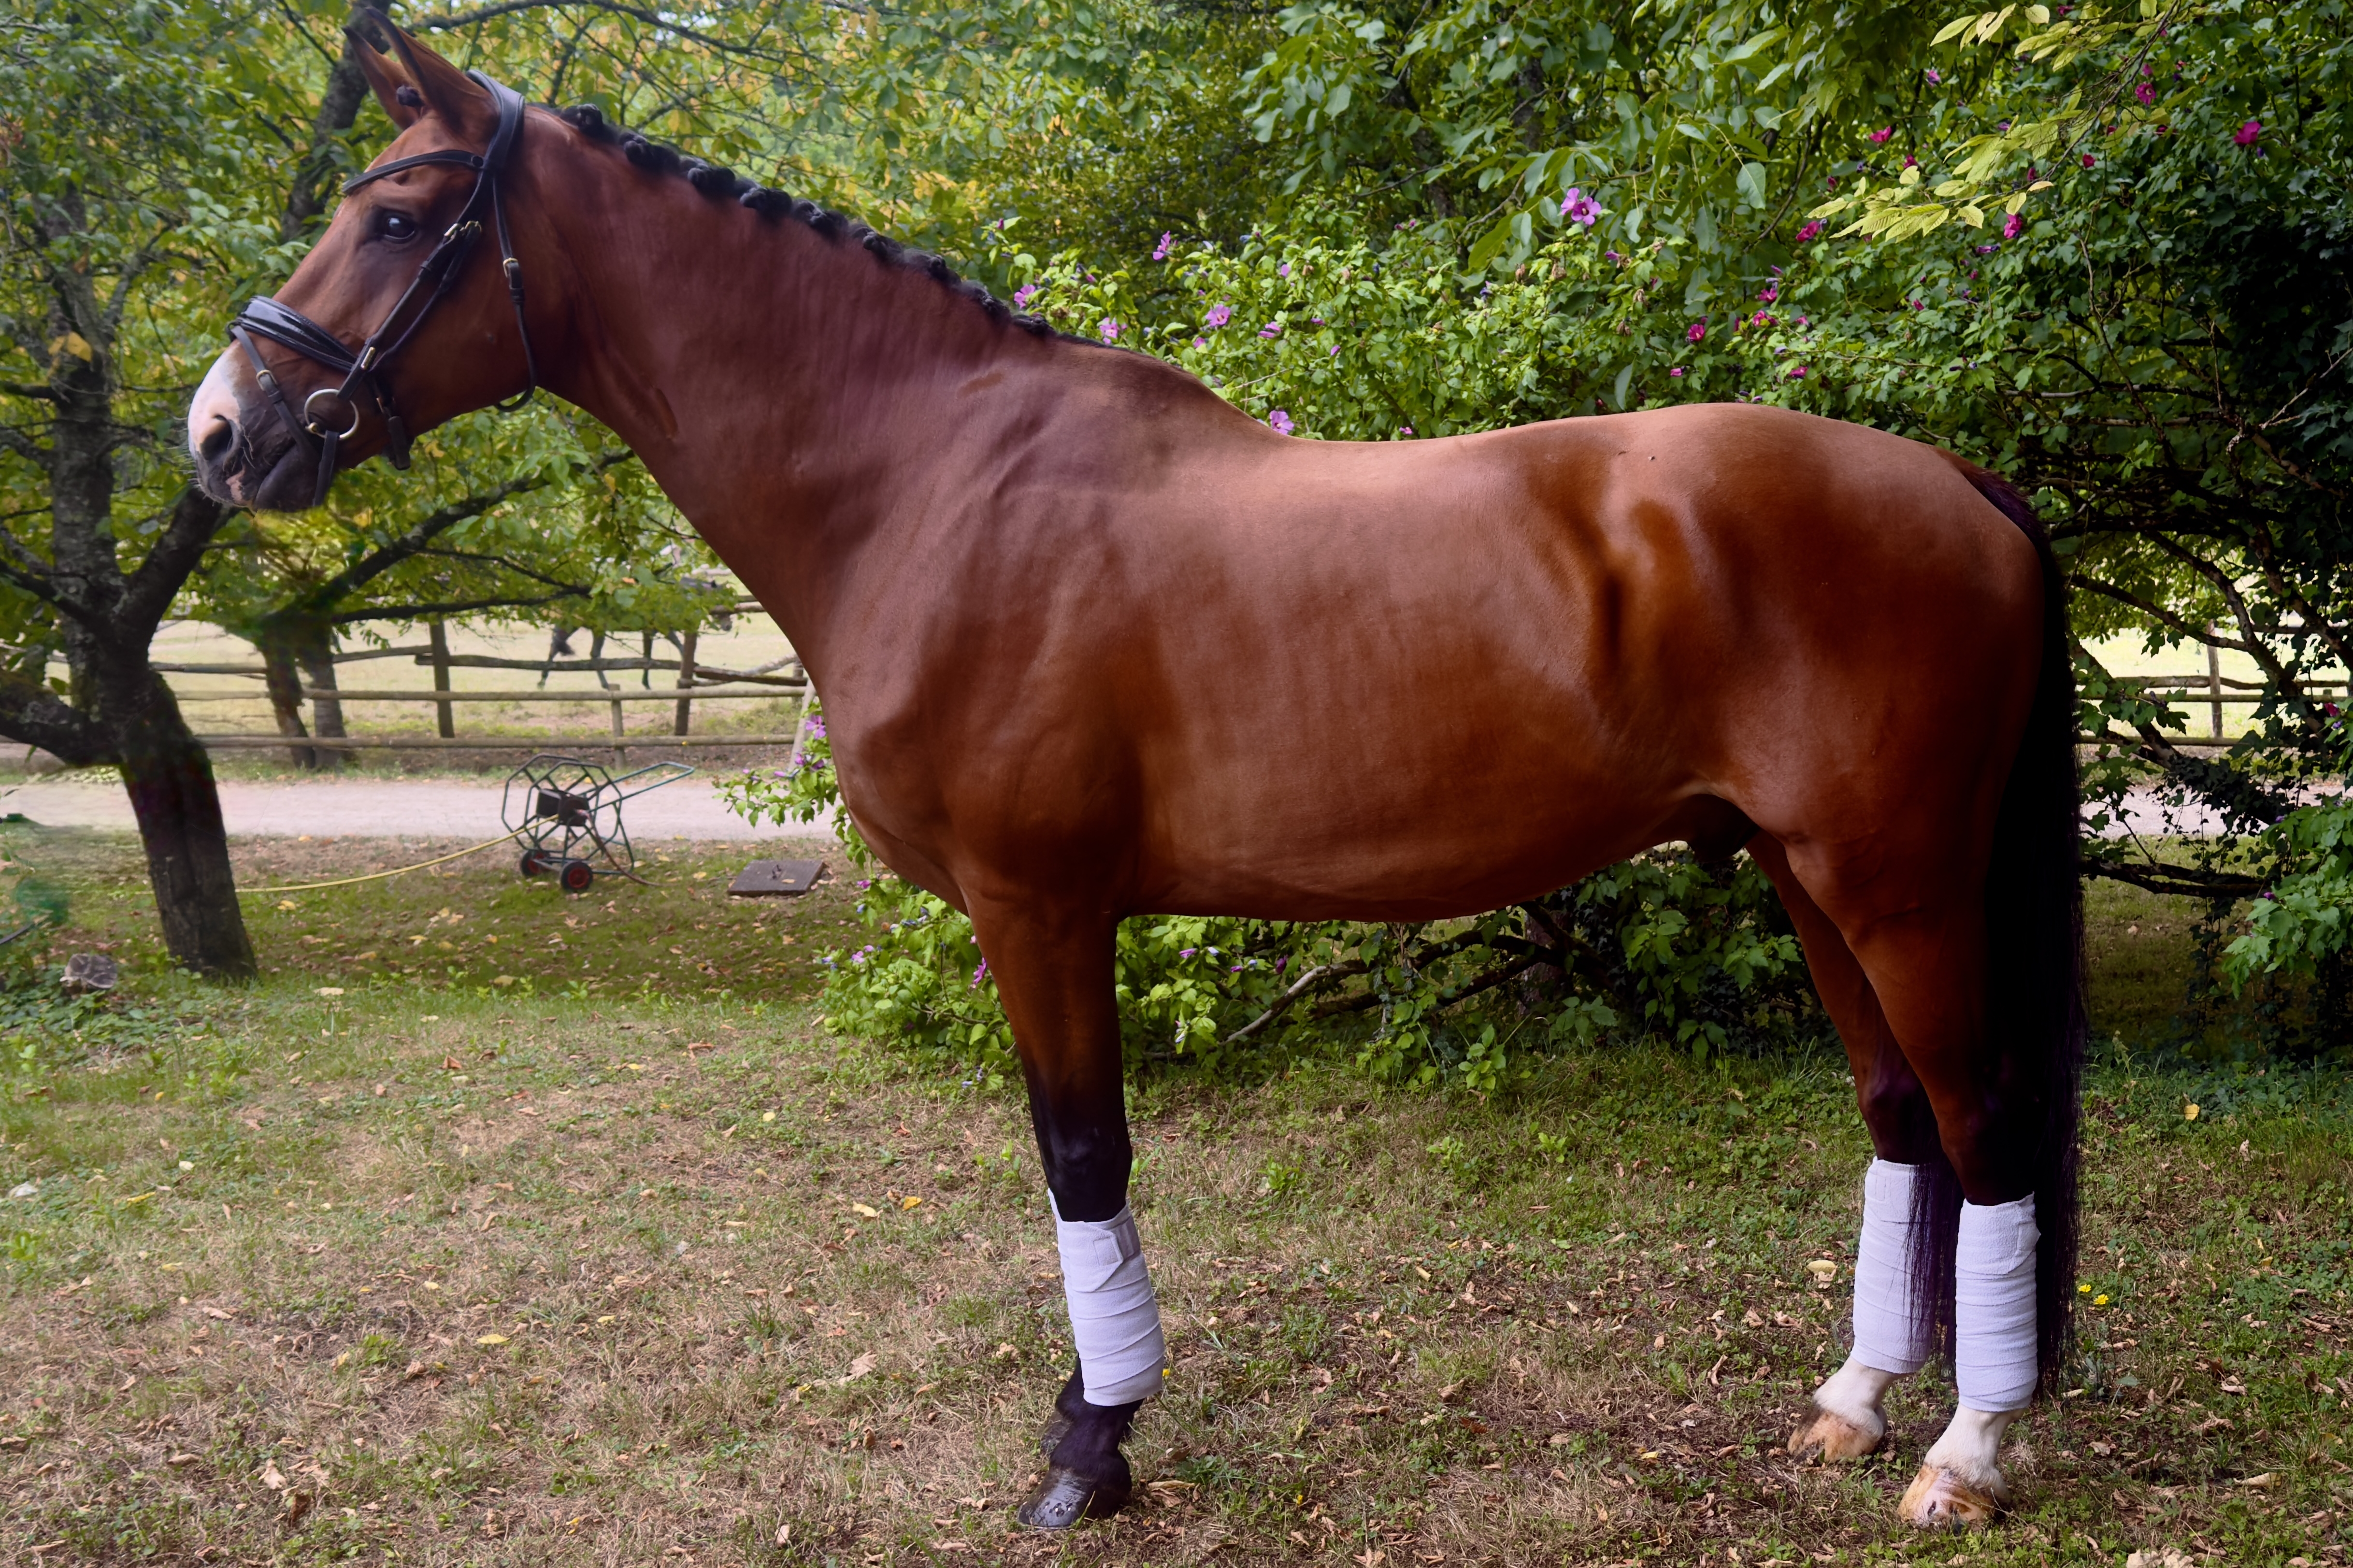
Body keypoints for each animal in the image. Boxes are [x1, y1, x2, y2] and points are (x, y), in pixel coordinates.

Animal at [188, 15, 2085, 1535]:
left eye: (398, 215)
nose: (222, 432)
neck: (926, 475)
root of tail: (1958, 483)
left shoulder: (1038, 903)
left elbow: (1080, 1155)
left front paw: (1090, 1449)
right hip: (1803, 869)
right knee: (1900, 1117)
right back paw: (1854, 1406)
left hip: (1896, 881)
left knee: (1985, 1127)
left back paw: (1968, 1453)